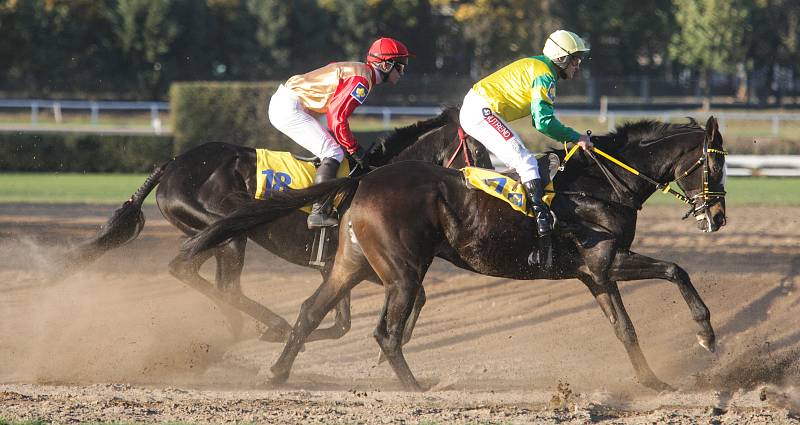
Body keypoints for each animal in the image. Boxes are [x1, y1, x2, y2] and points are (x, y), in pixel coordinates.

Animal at [62, 106, 490, 342]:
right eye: (480, 148)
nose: (489, 182)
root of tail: (172, 164)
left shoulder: (338, 267)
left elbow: (344, 323)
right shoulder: (361, 264)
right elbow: (413, 297)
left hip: (210, 235)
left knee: (206, 278)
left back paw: (244, 330)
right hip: (226, 231)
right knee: (205, 277)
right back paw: (267, 324)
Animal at [184, 116, 728, 390]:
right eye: (715, 164)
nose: (718, 215)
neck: (600, 185)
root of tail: (365, 181)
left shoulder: (596, 275)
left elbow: (635, 316)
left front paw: (660, 377)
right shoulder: (605, 262)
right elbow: (667, 280)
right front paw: (703, 338)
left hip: (352, 263)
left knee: (310, 311)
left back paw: (277, 372)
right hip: (403, 271)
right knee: (384, 332)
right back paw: (414, 388)